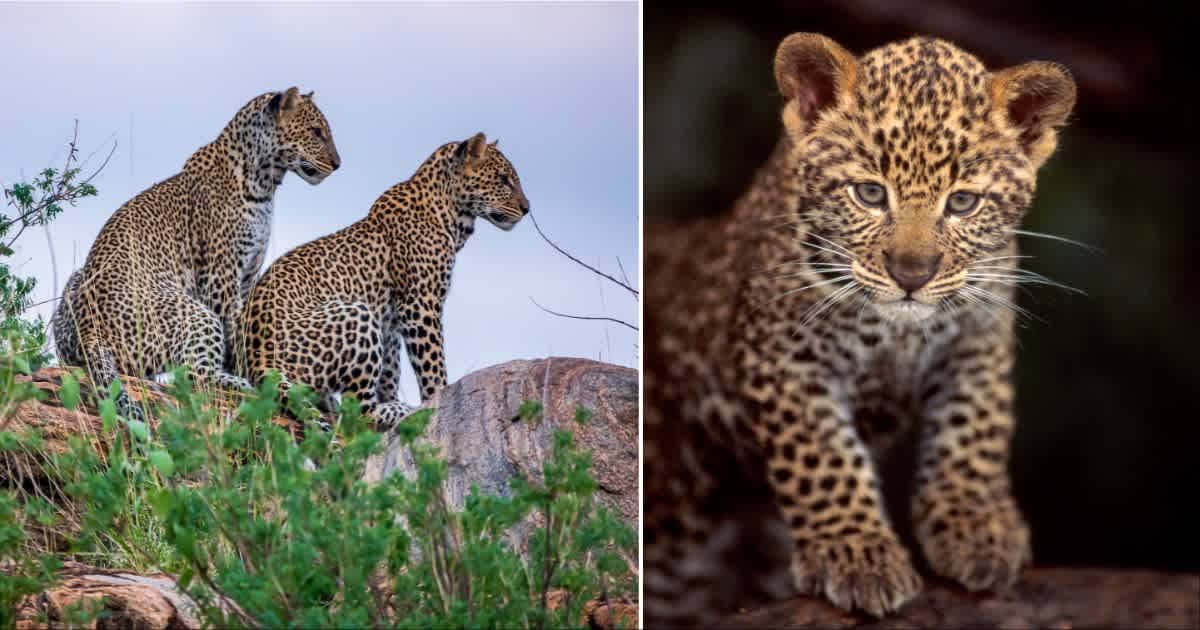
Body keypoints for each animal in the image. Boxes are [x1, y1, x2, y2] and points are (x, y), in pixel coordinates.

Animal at [49, 87, 341, 421]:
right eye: (316, 132)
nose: (337, 163)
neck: (264, 182)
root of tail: (90, 332)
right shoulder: (221, 275)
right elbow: (235, 330)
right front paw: (259, 376)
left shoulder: (248, 274)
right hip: (194, 311)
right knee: (194, 376)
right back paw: (246, 385)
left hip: (75, 283)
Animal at [239, 132, 529, 428]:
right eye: (503, 179)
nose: (526, 208)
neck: (452, 215)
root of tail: (260, 364)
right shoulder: (420, 304)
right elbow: (432, 364)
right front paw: (440, 399)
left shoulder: (390, 324)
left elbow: (391, 371)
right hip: (358, 313)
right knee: (358, 412)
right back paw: (402, 410)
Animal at [644, 33, 1076, 625]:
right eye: (870, 195)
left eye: (962, 202)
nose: (912, 274)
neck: (898, 334)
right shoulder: (782, 359)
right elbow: (823, 457)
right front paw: (856, 553)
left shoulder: (978, 340)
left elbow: (974, 431)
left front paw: (976, 529)